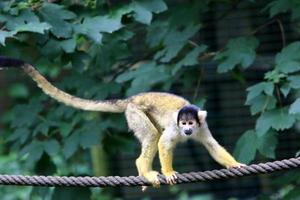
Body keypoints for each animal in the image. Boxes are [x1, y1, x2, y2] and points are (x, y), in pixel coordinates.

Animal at [0, 56, 244, 189]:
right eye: (183, 124)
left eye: (190, 124)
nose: (187, 130)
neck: (188, 129)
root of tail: (130, 99)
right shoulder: (174, 128)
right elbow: (164, 143)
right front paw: (168, 172)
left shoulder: (203, 125)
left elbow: (212, 145)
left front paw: (235, 165)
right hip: (135, 113)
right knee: (153, 135)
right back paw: (145, 170)